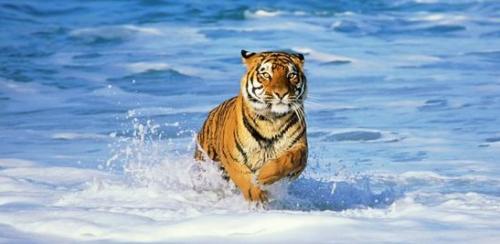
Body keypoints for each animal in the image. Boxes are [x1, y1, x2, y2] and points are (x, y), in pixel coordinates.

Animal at [193, 49, 306, 202]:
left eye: (291, 75)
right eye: (266, 75)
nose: (281, 94)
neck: (272, 120)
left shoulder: (301, 148)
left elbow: (289, 159)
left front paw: (264, 176)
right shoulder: (234, 159)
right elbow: (246, 182)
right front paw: (258, 199)